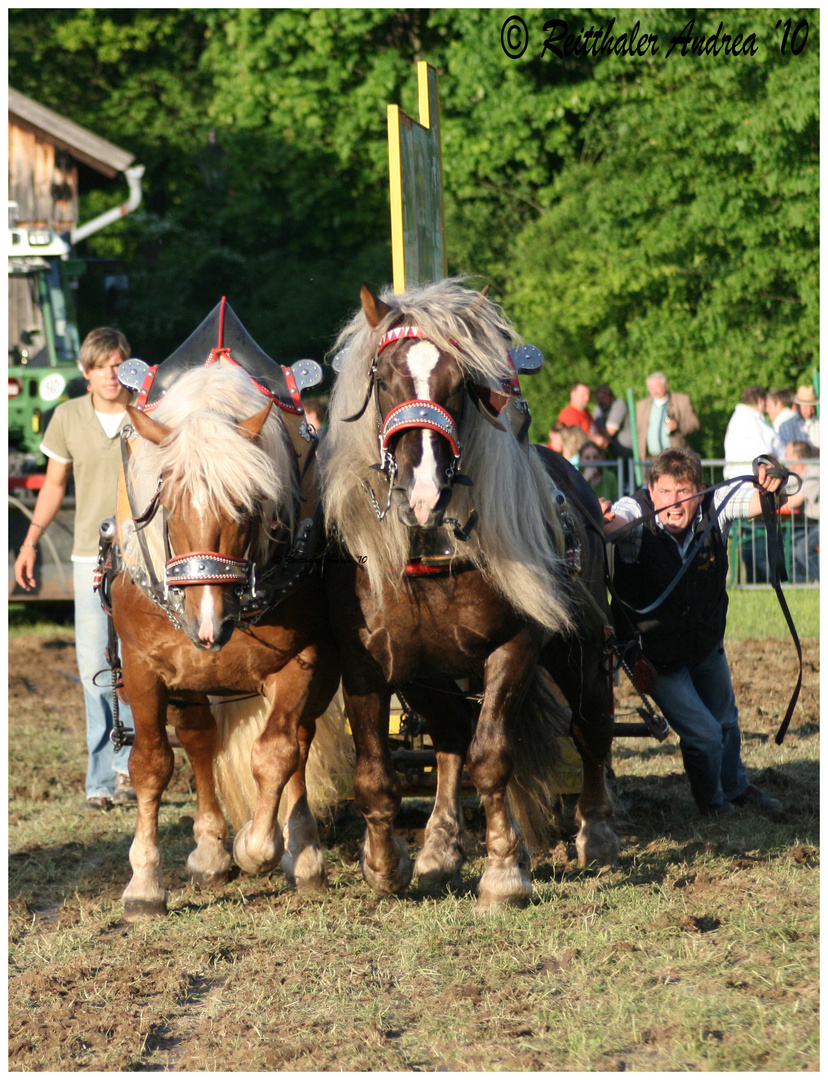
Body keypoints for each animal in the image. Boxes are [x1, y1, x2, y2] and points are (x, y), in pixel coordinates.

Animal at [108, 304, 341, 920]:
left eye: (247, 505)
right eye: (164, 502)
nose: (207, 625)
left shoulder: (301, 661)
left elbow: (276, 753)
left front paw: (262, 846)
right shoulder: (144, 668)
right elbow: (152, 764)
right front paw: (145, 884)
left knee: (296, 742)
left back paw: (300, 851)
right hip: (188, 680)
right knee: (198, 741)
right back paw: (211, 851)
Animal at [323, 278, 621, 911]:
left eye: (460, 384)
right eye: (384, 378)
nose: (423, 491)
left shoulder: (516, 647)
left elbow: (492, 757)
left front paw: (505, 871)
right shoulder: (368, 664)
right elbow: (379, 773)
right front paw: (386, 864)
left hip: (582, 648)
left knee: (591, 727)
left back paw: (598, 830)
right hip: (429, 676)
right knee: (450, 740)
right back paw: (439, 847)